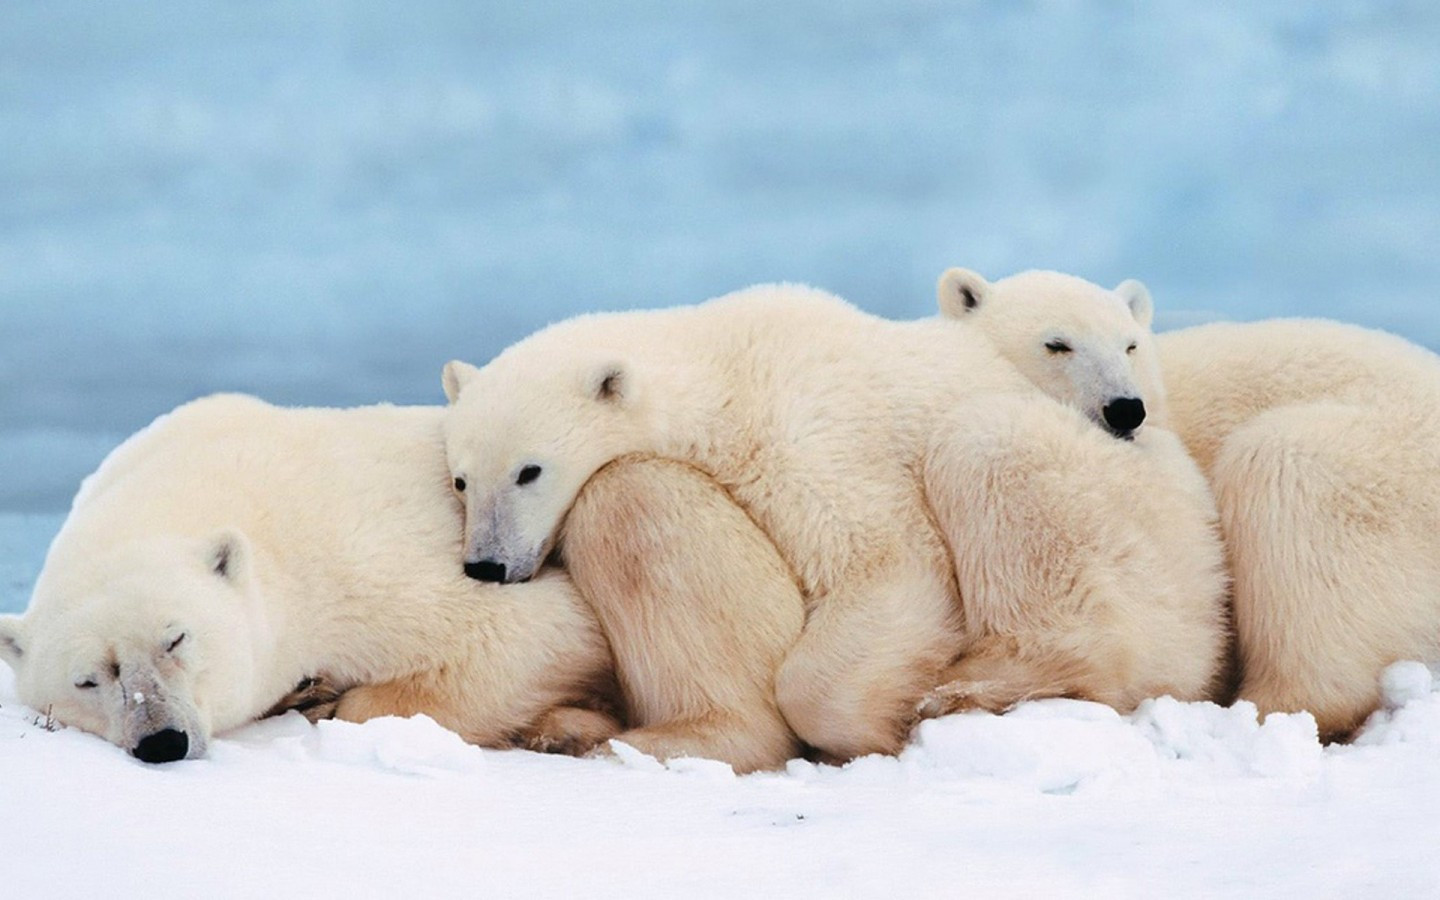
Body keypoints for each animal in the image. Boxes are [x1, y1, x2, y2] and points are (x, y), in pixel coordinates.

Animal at [0, 391, 806, 766]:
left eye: (177, 638)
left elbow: (533, 632)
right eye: (88, 679)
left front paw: (330, 698)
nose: (161, 740)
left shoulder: (356, 557)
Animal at [437, 286, 1226, 760]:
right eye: (462, 478)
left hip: (1127, 521)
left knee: (988, 448)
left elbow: (887, 565)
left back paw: (971, 689)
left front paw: (876, 726)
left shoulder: (808, 433)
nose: (487, 565)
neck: (725, 368)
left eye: (529, 470)